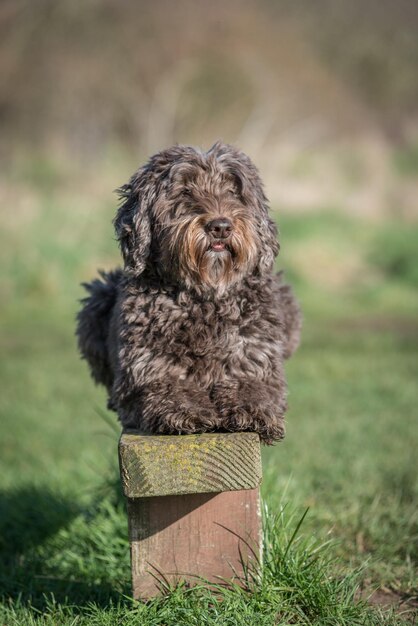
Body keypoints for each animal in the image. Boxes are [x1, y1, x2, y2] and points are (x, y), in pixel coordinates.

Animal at [76, 141, 302, 444]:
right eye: (184, 190)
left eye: (233, 191)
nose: (220, 226)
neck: (204, 298)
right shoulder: (148, 371)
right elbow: (169, 388)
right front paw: (187, 409)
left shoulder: (256, 361)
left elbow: (254, 386)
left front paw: (252, 409)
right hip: (95, 301)